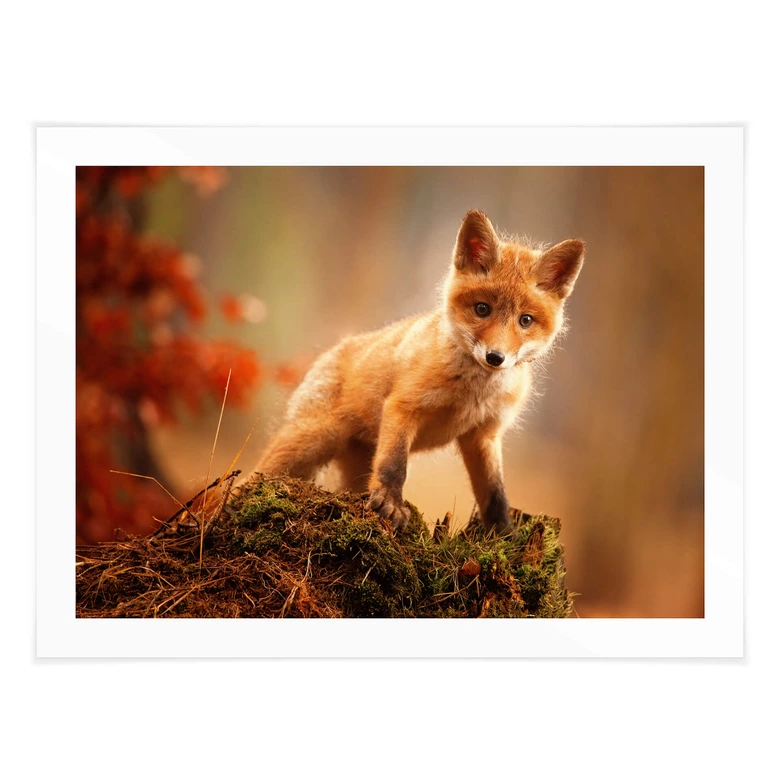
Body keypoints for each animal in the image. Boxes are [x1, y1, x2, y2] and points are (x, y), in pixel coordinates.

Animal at [254, 210, 584, 534]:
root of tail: (331, 351)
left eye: (525, 320)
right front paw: (391, 504)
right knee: (253, 477)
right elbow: (394, 465)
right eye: (482, 309)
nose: (495, 357)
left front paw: (502, 535)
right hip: (309, 442)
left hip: (353, 465)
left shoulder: (484, 434)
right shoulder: (403, 407)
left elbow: (495, 494)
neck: (472, 393)